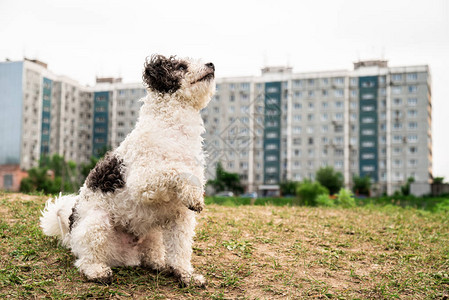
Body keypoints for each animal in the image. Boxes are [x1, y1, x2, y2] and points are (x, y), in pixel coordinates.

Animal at [40, 54, 215, 286]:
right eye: (180, 66)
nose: (211, 64)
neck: (173, 131)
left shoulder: (179, 215)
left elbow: (180, 250)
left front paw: (185, 274)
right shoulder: (142, 181)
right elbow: (174, 170)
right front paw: (194, 194)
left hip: (152, 233)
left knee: (151, 253)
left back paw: (158, 262)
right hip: (97, 223)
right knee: (85, 259)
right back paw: (97, 271)